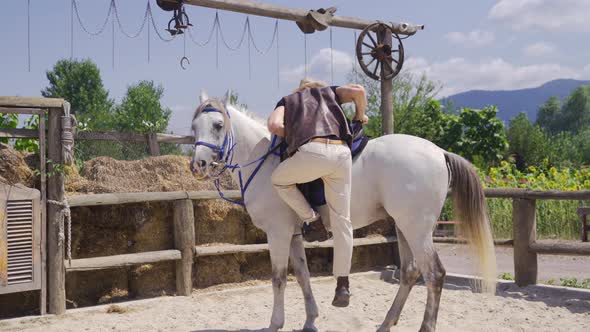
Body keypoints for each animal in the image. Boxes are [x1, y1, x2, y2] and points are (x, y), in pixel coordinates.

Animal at [192, 91, 498, 332]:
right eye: (194, 127)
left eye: (218, 125)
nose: (198, 165)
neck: (265, 162)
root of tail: (439, 152)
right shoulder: (293, 234)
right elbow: (301, 275)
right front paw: (310, 320)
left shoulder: (277, 233)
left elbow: (278, 278)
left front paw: (275, 324)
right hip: (403, 227)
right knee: (411, 272)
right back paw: (386, 323)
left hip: (417, 229)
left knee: (434, 274)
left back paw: (423, 326)